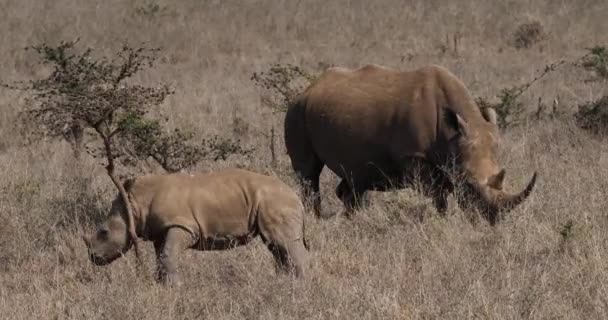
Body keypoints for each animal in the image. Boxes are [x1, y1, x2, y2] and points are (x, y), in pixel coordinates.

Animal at [84, 168, 308, 284]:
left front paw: (175, 287)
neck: (135, 203)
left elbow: (167, 255)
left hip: (275, 201)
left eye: (104, 233)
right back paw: (284, 282)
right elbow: (160, 257)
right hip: (271, 202)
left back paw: (300, 285)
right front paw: (161, 284)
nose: (93, 258)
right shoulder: (160, 230)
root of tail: (296, 196)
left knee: (283, 243)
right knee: (276, 247)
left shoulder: (182, 225)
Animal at [284, 64, 536, 225]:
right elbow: (438, 195)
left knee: (355, 177)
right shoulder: (414, 156)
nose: (493, 220)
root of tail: (308, 89)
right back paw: (316, 219)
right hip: (297, 112)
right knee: (309, 173)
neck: (453, 136)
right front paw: (442, 221)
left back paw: (351, 220)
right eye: (471, 184)